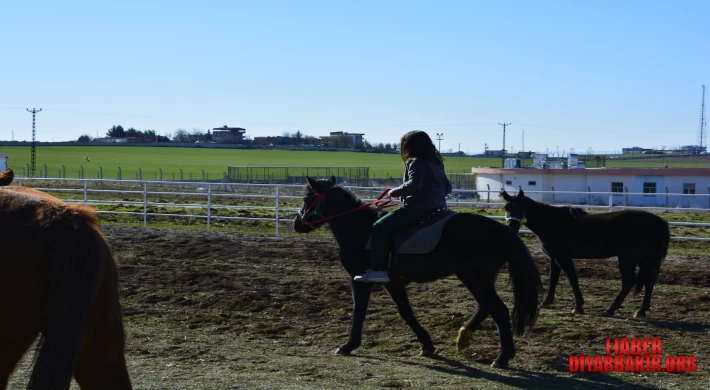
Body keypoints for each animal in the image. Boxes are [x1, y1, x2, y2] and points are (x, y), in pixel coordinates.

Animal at [500, 190, 672, 320]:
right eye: (506, 208)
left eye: (521, 208)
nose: (511, 229)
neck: (553, 223)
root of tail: (660, 223)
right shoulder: (553, 258)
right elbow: (553, 279)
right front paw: (547, 302)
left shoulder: (563, 257)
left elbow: (572, 278)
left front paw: (578, 306)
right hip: (646, 260)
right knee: (650, 282)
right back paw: (641, 311)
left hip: (627, 258)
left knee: (629, 281)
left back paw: (611, 309)